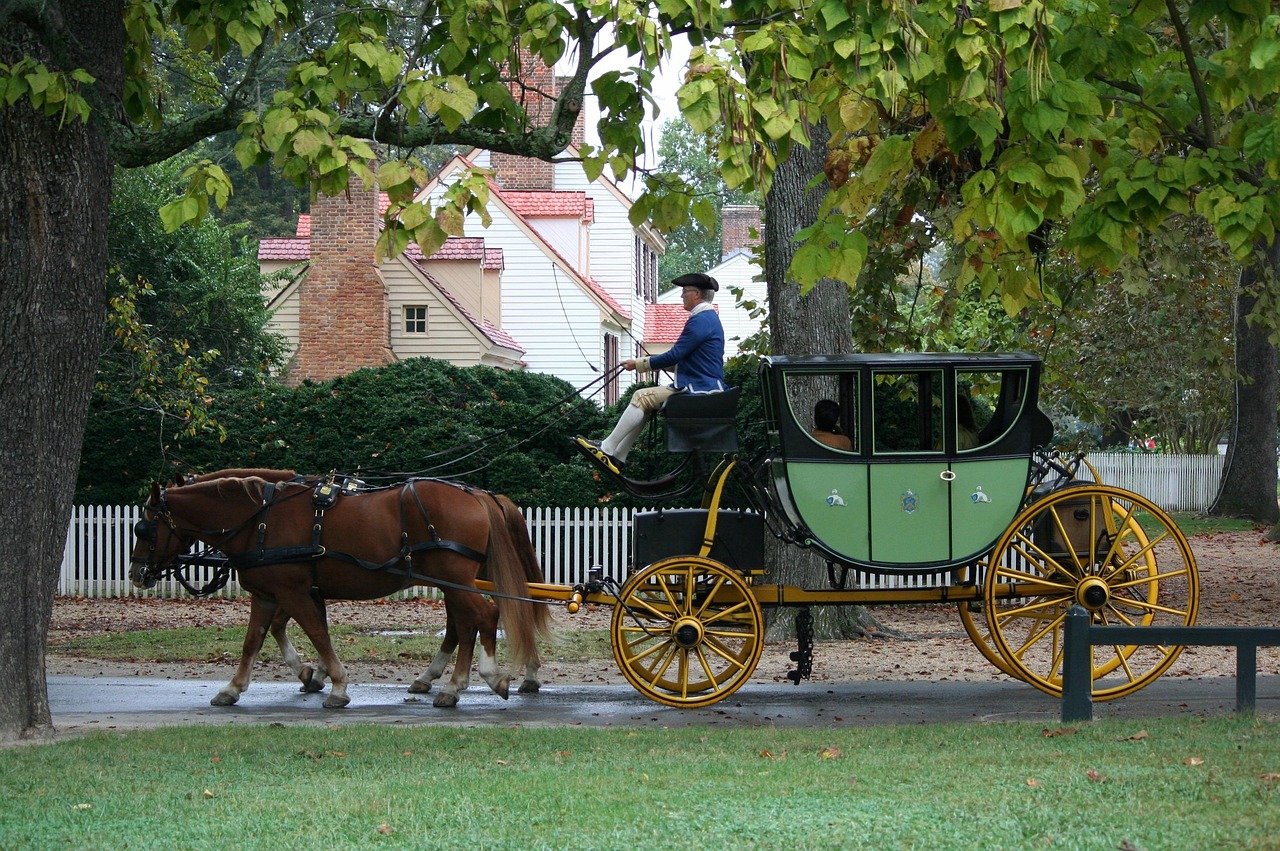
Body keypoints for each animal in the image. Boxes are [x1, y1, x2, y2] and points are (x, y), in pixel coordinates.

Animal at [131, 473, 550, 706]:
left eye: (145, 529)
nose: (137, 573)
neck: (260, 521)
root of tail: (475, 494)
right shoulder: (269, 594)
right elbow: (254, 641)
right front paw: (233, 688)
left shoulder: (294, 592)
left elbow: (317, 634)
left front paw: (335, 685)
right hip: (452, 581)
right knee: (466, 625)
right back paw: (452, 683)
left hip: (455, 579)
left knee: (483, 617)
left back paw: (479, 678)